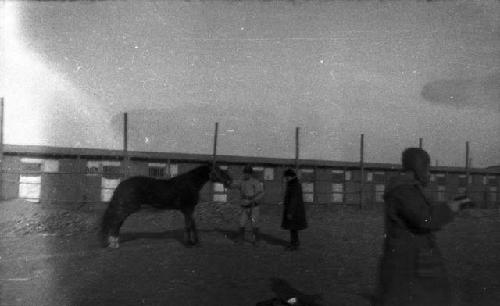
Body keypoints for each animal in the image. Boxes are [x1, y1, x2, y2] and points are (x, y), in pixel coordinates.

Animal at [102, 164, 234, 247]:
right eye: (219, 171)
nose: (229, 180)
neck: (190, 184)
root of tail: (122, 184)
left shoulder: (189, 210)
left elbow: (192, 224)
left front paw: (195, 242)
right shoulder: (187, 209)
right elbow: (189, 225)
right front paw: (189, 243)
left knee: (117, 222)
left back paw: (114, 242)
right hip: (127, 208)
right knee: (116, 221)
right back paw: (113, 243)